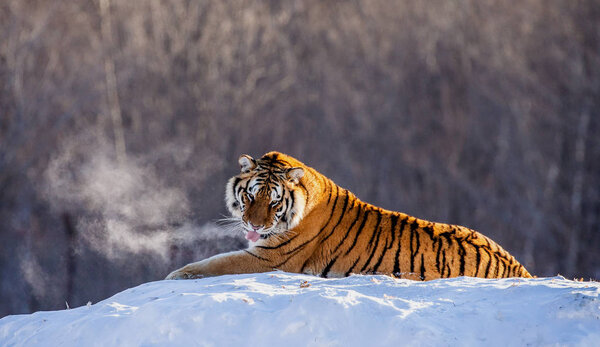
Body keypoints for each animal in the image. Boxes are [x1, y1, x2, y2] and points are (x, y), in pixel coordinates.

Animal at [166, 151, 532, 282]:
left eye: (273, 202)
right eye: (251, 195)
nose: (254, 225)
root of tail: (520, 269)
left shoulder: (270, 258)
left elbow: (216, 263)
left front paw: (174, 275)